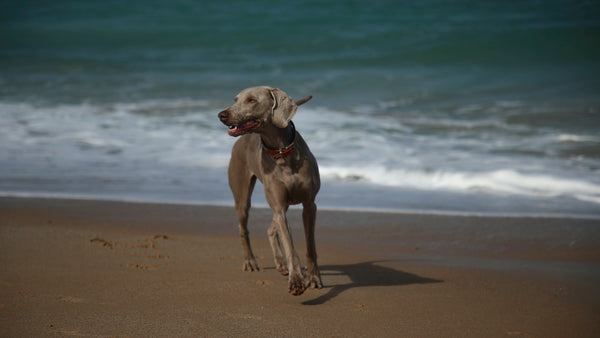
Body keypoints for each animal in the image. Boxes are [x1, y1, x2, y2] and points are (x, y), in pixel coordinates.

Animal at [219, 86, 324, 294]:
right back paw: (251, 261)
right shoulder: (280, 206)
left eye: (251, 100)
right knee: (244, 228)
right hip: (242, 196)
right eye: (236, 99)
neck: (282, 150)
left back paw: (282, 264)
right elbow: (290, 246)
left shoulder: (309, 204)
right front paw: (296, 281)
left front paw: (313, 277)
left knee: (271, 228)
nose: (222, 115)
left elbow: (310, 246)